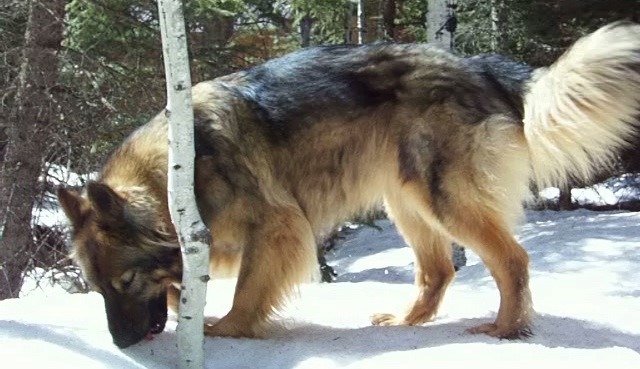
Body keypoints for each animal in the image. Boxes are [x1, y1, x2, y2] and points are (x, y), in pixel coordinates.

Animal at [57, 23, 636, 348]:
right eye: (98, 288)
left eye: (126, 282)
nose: (120, 345)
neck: (177, 174)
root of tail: (477, 64)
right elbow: (186, 290)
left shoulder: (277, 226)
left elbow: (247, 290)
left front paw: (227, 330)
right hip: (407, 202)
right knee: (439, 271)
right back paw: (405, 322)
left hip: (443, 200)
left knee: (513, 260)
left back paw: (506, 331)